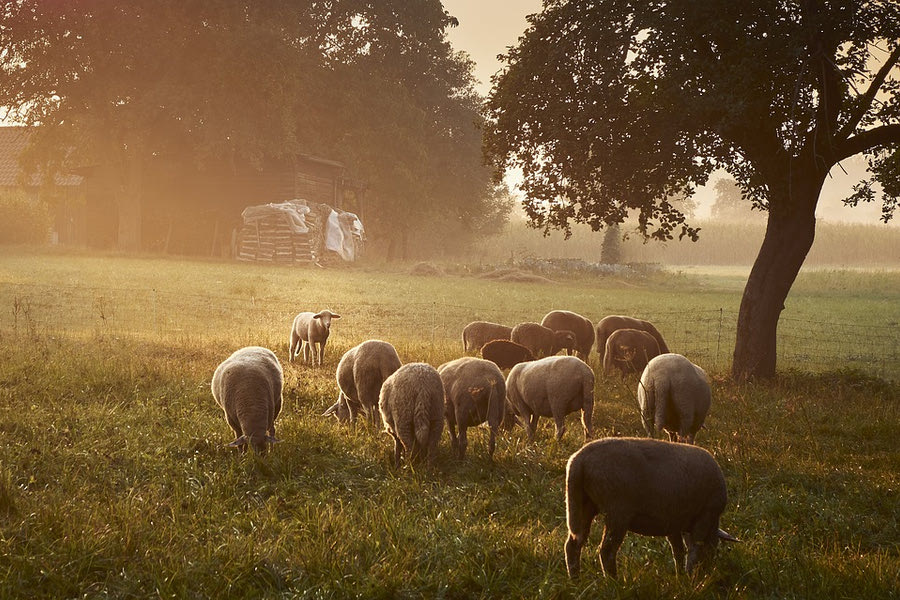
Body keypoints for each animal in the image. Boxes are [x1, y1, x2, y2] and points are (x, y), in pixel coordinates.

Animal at [568, 438, 740, 580]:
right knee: (607, 551)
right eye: (714, 548)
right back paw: (614, 583)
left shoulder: (674, 522)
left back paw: (575, 580)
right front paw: (691, 577)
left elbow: (678, 550)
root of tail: (579, 459)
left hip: (583, 505)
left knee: (573, 544)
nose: (707, 572)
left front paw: (680, 575)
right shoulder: (705, 514)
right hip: (617, 511)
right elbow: (694, 549)